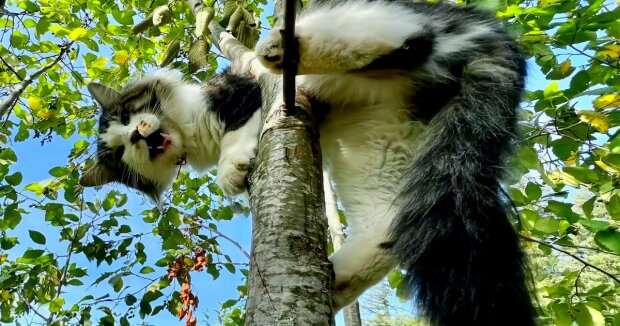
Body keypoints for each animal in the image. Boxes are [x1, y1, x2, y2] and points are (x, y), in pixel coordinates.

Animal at [81, 1, 536, 324]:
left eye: (125, 118)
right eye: (118, 150)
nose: (136, 135)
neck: (194, 131)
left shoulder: (244, 92)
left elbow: (242, 127)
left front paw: (233, 166)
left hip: (368, 23)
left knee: (408, 38)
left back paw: (281, 47)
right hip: (379, 148)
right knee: (391, 225)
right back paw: (334, 280)